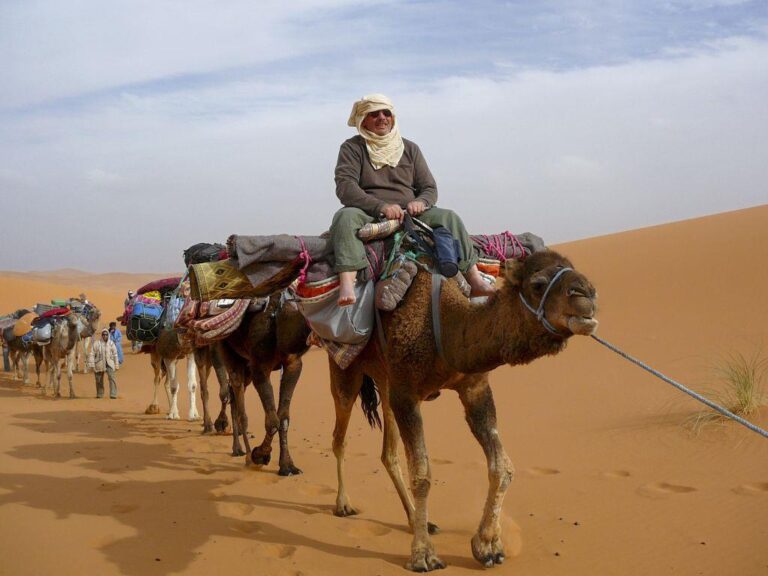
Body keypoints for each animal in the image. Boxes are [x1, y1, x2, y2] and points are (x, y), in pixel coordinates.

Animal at [214, 290, 310, 474]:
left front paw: (287, 466)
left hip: (247, 366)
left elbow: (284, 418)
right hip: (226, 347)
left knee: (235, 393)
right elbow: (273, 421)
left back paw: (238, 448)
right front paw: (259, 455)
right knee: (238, 399)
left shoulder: (294, 364)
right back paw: (243, 452)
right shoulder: (260, 367)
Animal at [328, 250, 596, 568]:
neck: (445, 328)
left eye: (575, 271)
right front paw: (423, 555)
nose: (587, 294)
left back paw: (415, 520)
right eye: (538, 283)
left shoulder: (474, 388)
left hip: (385, 379)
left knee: (388, 453)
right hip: (346, 371)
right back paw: (344, 504)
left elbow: (502, 466)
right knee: (340, 436)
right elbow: (422, 474)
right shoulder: (407, 393)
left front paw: (488, 546)